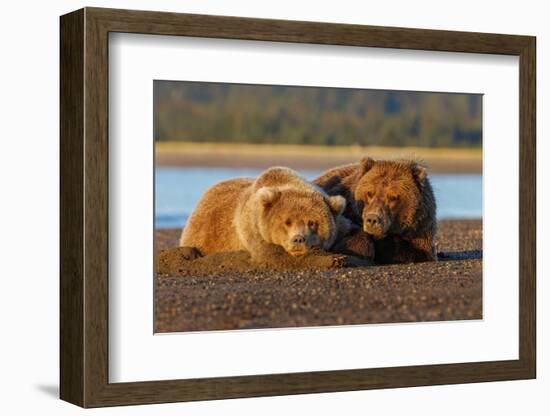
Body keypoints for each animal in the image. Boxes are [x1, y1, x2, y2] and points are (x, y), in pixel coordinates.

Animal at [181, 167, 350, 266]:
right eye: (287, 222)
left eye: (312, 223)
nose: (298, 239)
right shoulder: (252, 226)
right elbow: (272, 254)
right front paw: (334, 259)